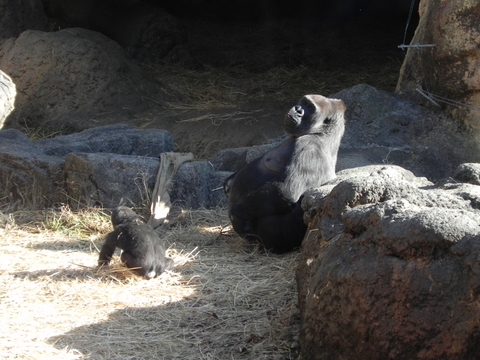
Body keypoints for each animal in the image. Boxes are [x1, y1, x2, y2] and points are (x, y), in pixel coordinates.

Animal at [225, 94, 344, 255]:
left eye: (310, 107)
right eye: (304, 102)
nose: (298, 109)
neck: (322, 134)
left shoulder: (308, 147)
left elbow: (286, 191)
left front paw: (235, 214)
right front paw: (229, 181)